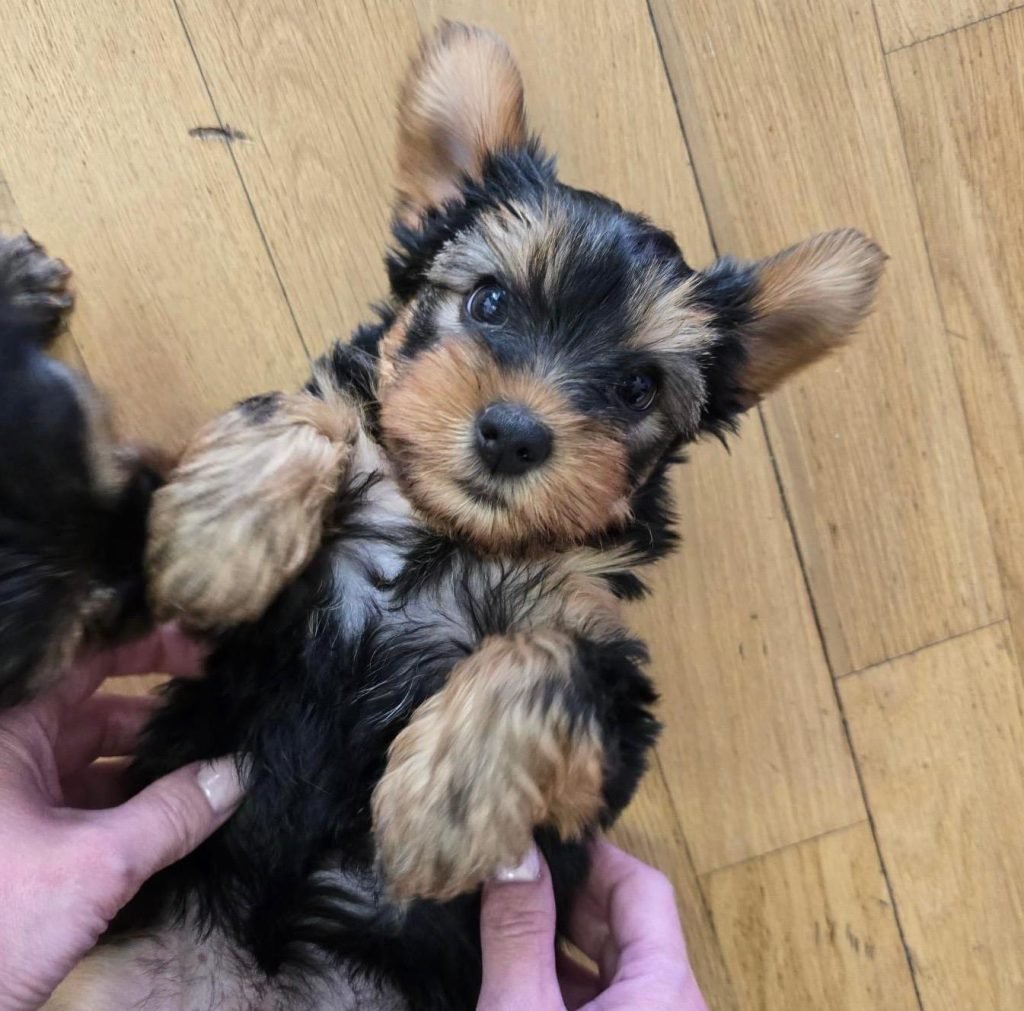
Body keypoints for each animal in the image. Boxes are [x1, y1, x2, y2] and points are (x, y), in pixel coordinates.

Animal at [12, 23, 884, 1011]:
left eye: (636, 386)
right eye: (489, 300)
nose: (513, 433)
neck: (444, 534)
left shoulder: (602, 744)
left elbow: (551, 659)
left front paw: (444, 808)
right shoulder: (249, 634)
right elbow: (317, 414)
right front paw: (215, 539)